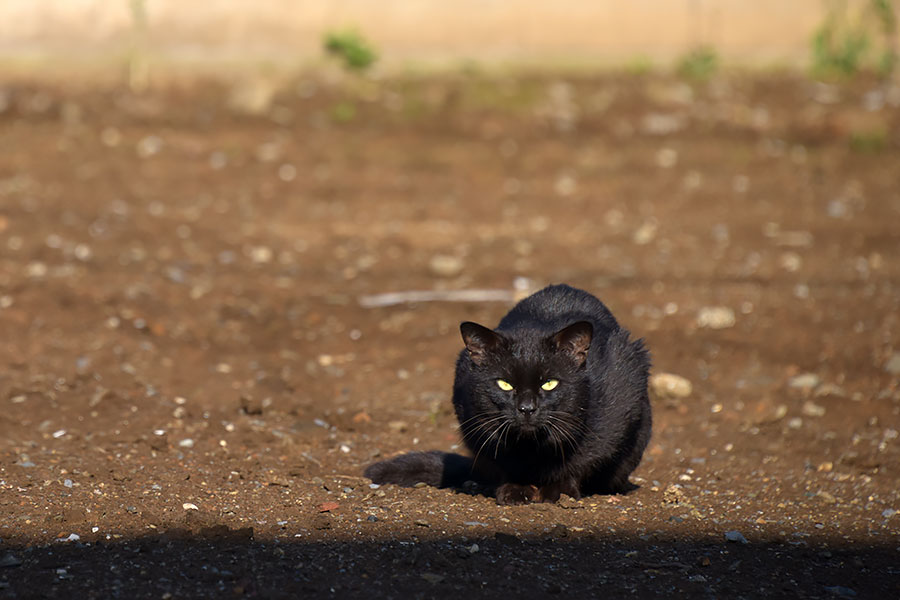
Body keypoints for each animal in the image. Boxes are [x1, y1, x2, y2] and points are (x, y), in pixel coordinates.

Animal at [362, 284, 652, 504]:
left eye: (549, 383)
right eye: (504, 384)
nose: (526, 408)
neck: (532, 447)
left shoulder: (616, 414)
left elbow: (581, 459)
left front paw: (559, 491)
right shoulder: (476, 423)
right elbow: (504, 462)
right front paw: (515, 490)